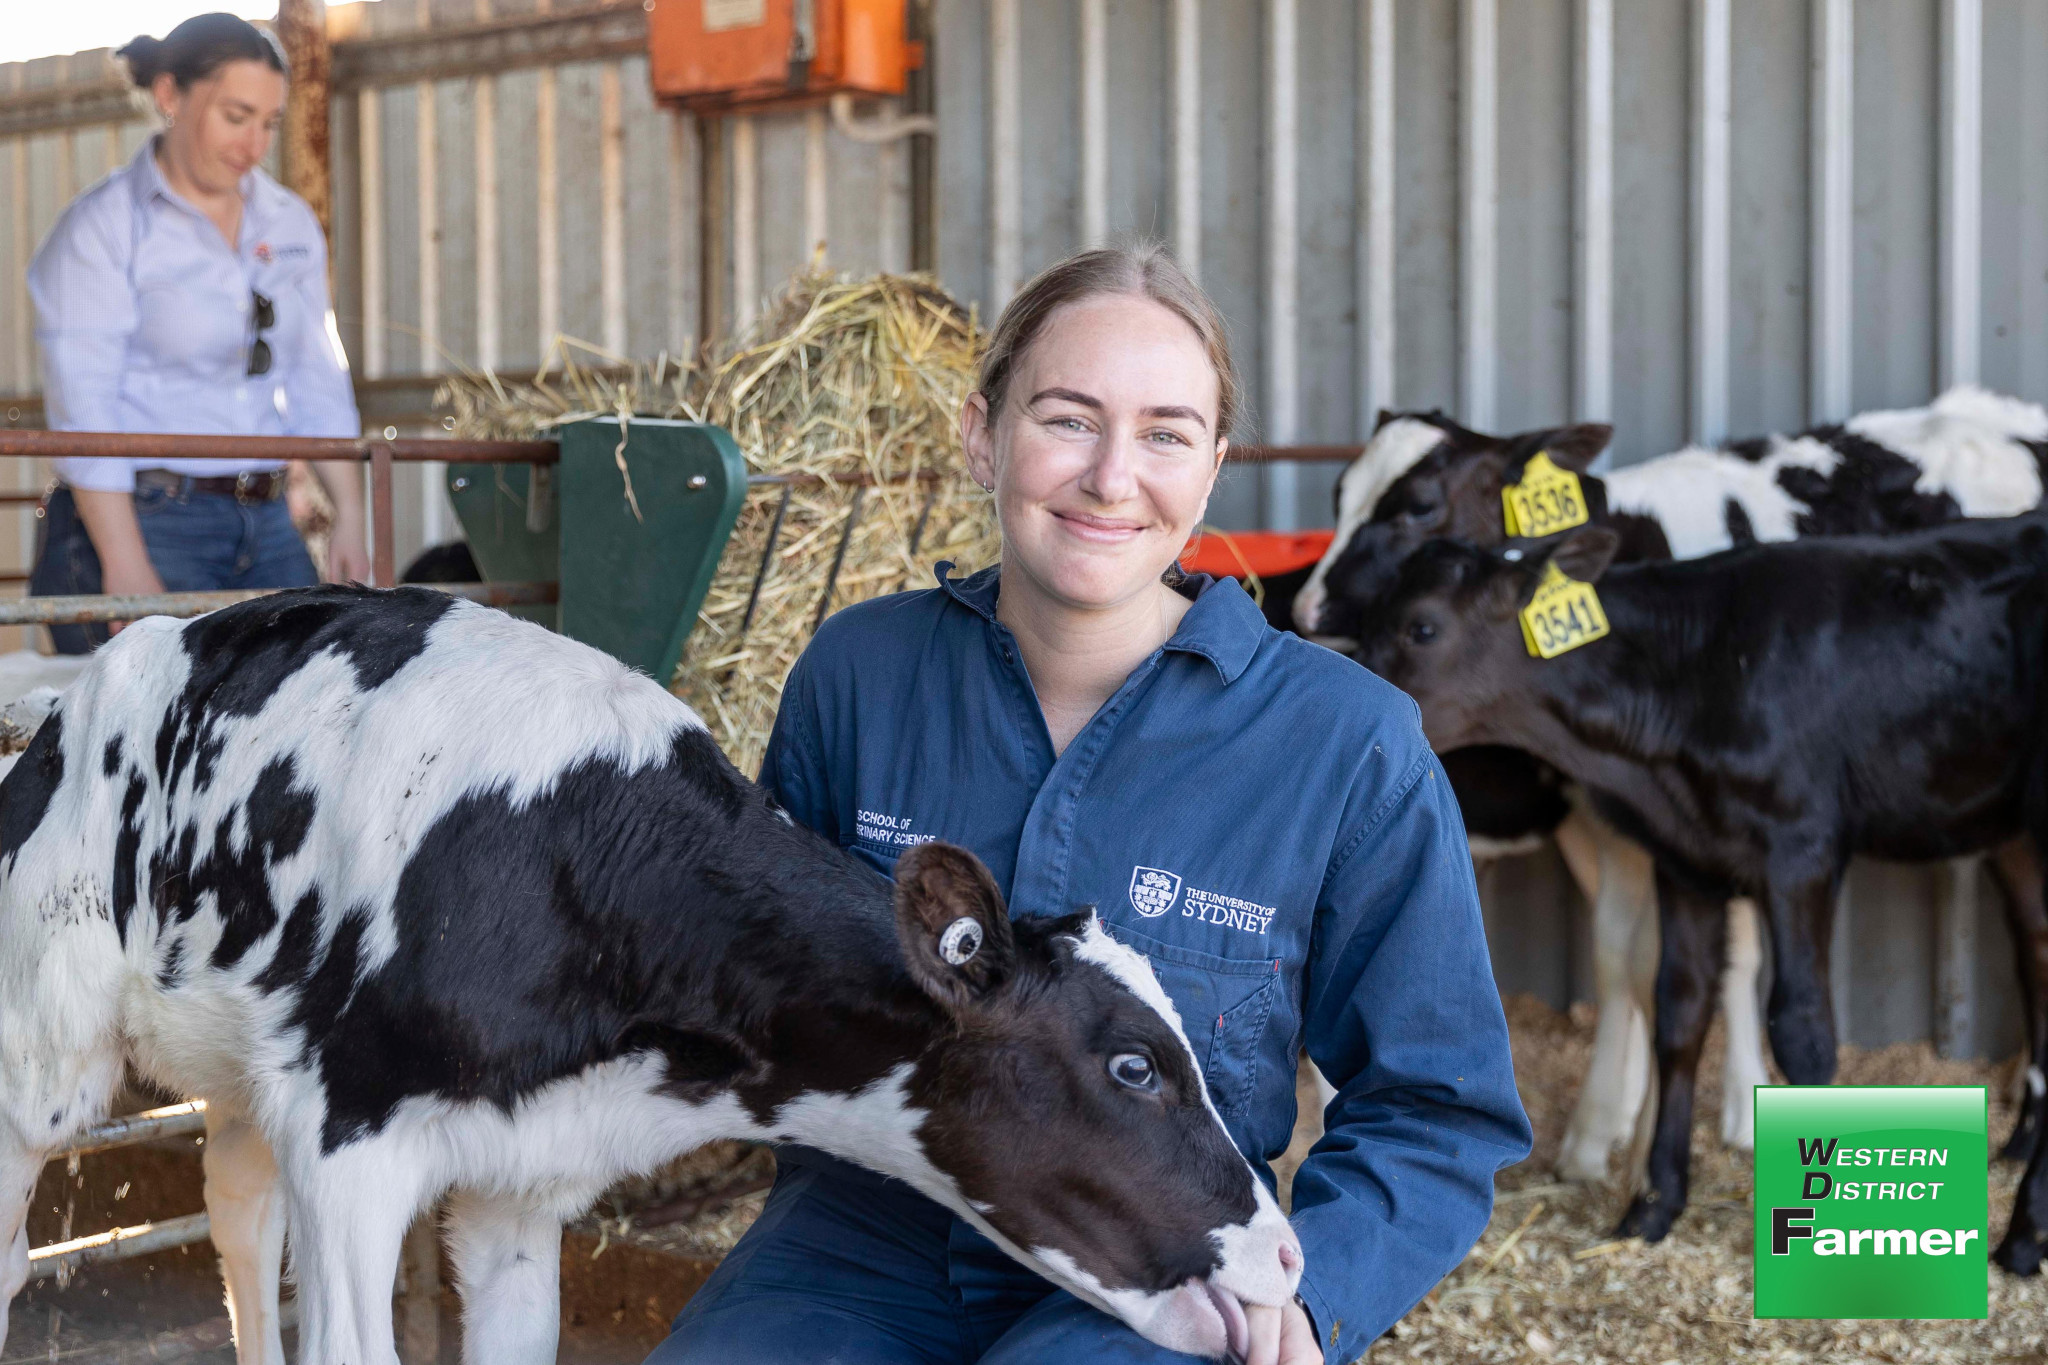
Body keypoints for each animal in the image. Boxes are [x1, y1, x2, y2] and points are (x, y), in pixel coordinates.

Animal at [0, 589, 1302, 1365]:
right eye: (1131, 1066)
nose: (1288, 1258)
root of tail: (97, 675)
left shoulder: (520, 1183)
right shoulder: (348, 1138)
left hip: (236, 1069)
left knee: (235, 1211)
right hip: (43, 1062)